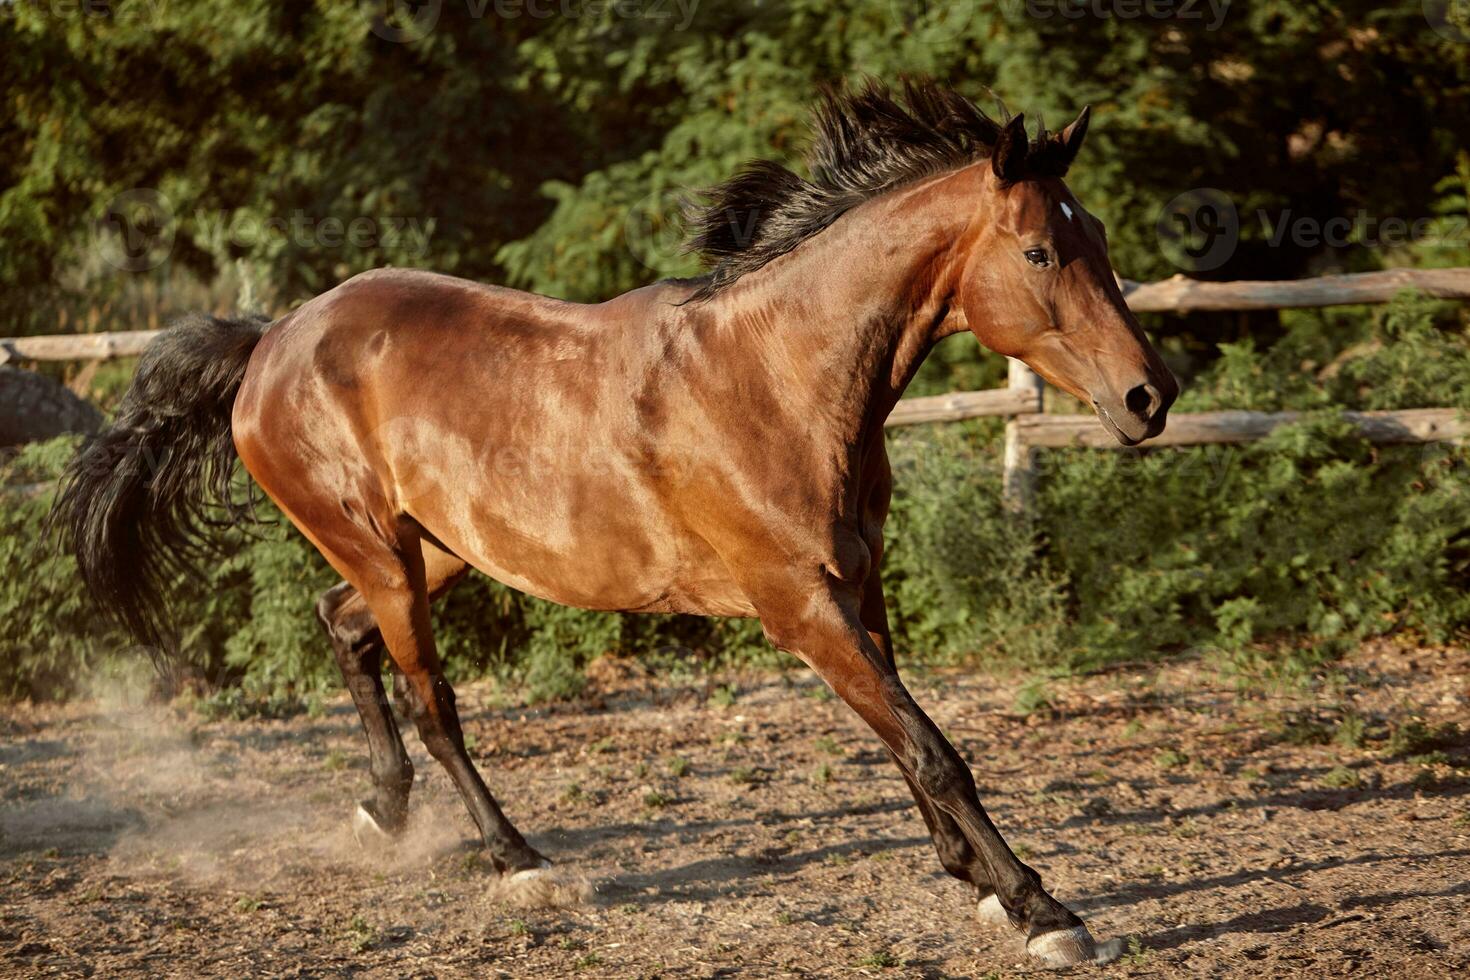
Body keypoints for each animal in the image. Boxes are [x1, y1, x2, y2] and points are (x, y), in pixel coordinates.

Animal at [51, 80, 1181, 969]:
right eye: (1039, 251)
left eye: (1098, 237)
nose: (1149, 397)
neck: (777, 381)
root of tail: (274, 337)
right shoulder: (800, 606)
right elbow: (935, 747)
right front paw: (1041, 909)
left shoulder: (859, 586)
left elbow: (909, 739)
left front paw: (976, 881)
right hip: (387, 555)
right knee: (433, 700)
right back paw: (520, 862)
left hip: (436, 552)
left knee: (343, 628)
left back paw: (382, 812)